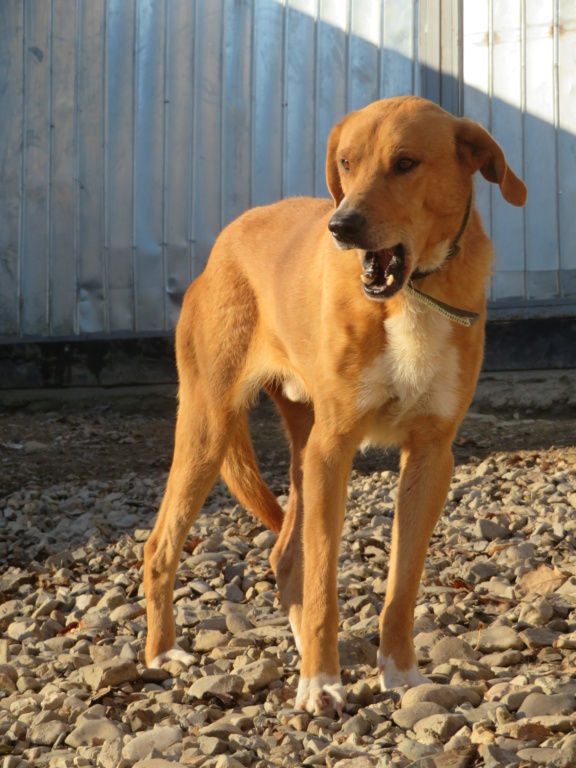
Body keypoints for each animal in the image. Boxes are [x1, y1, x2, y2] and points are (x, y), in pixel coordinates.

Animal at [143, 94, 528, 712]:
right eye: (346, 162)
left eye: (405, 163)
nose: (341, 226)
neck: (412, 296)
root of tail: (226, 239)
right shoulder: (335, 448)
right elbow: (326, 577)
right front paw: (321, 683)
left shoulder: (431, 456)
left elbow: (402, 583)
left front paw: (399, 673)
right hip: (211, 428)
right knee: (161, 546)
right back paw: (162, 654)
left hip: (299, 445)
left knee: (285, 556)